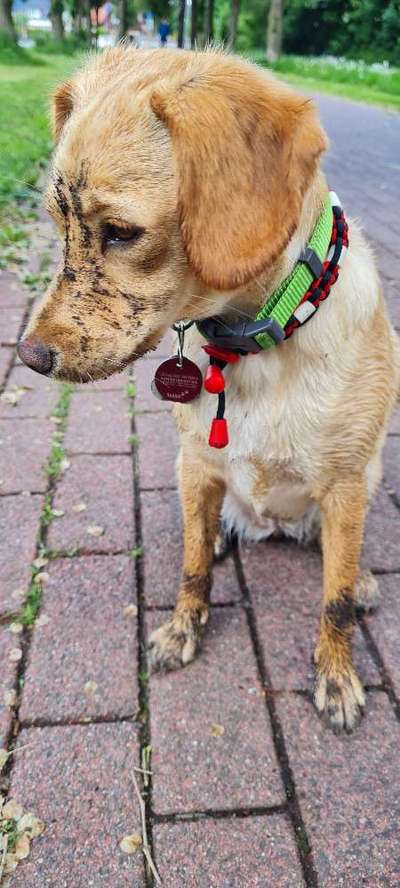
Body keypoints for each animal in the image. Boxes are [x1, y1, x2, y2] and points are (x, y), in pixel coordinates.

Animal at [18, 45, 400, 732]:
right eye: (57, 221)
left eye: (121, 232)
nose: (28, 358)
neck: (255, 344)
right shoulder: (195, 464)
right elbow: (194, 568)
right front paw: (181, 630)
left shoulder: (346, 483)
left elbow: (333, 599)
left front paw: (336, 676)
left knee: (338, 560)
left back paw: (361, 580)